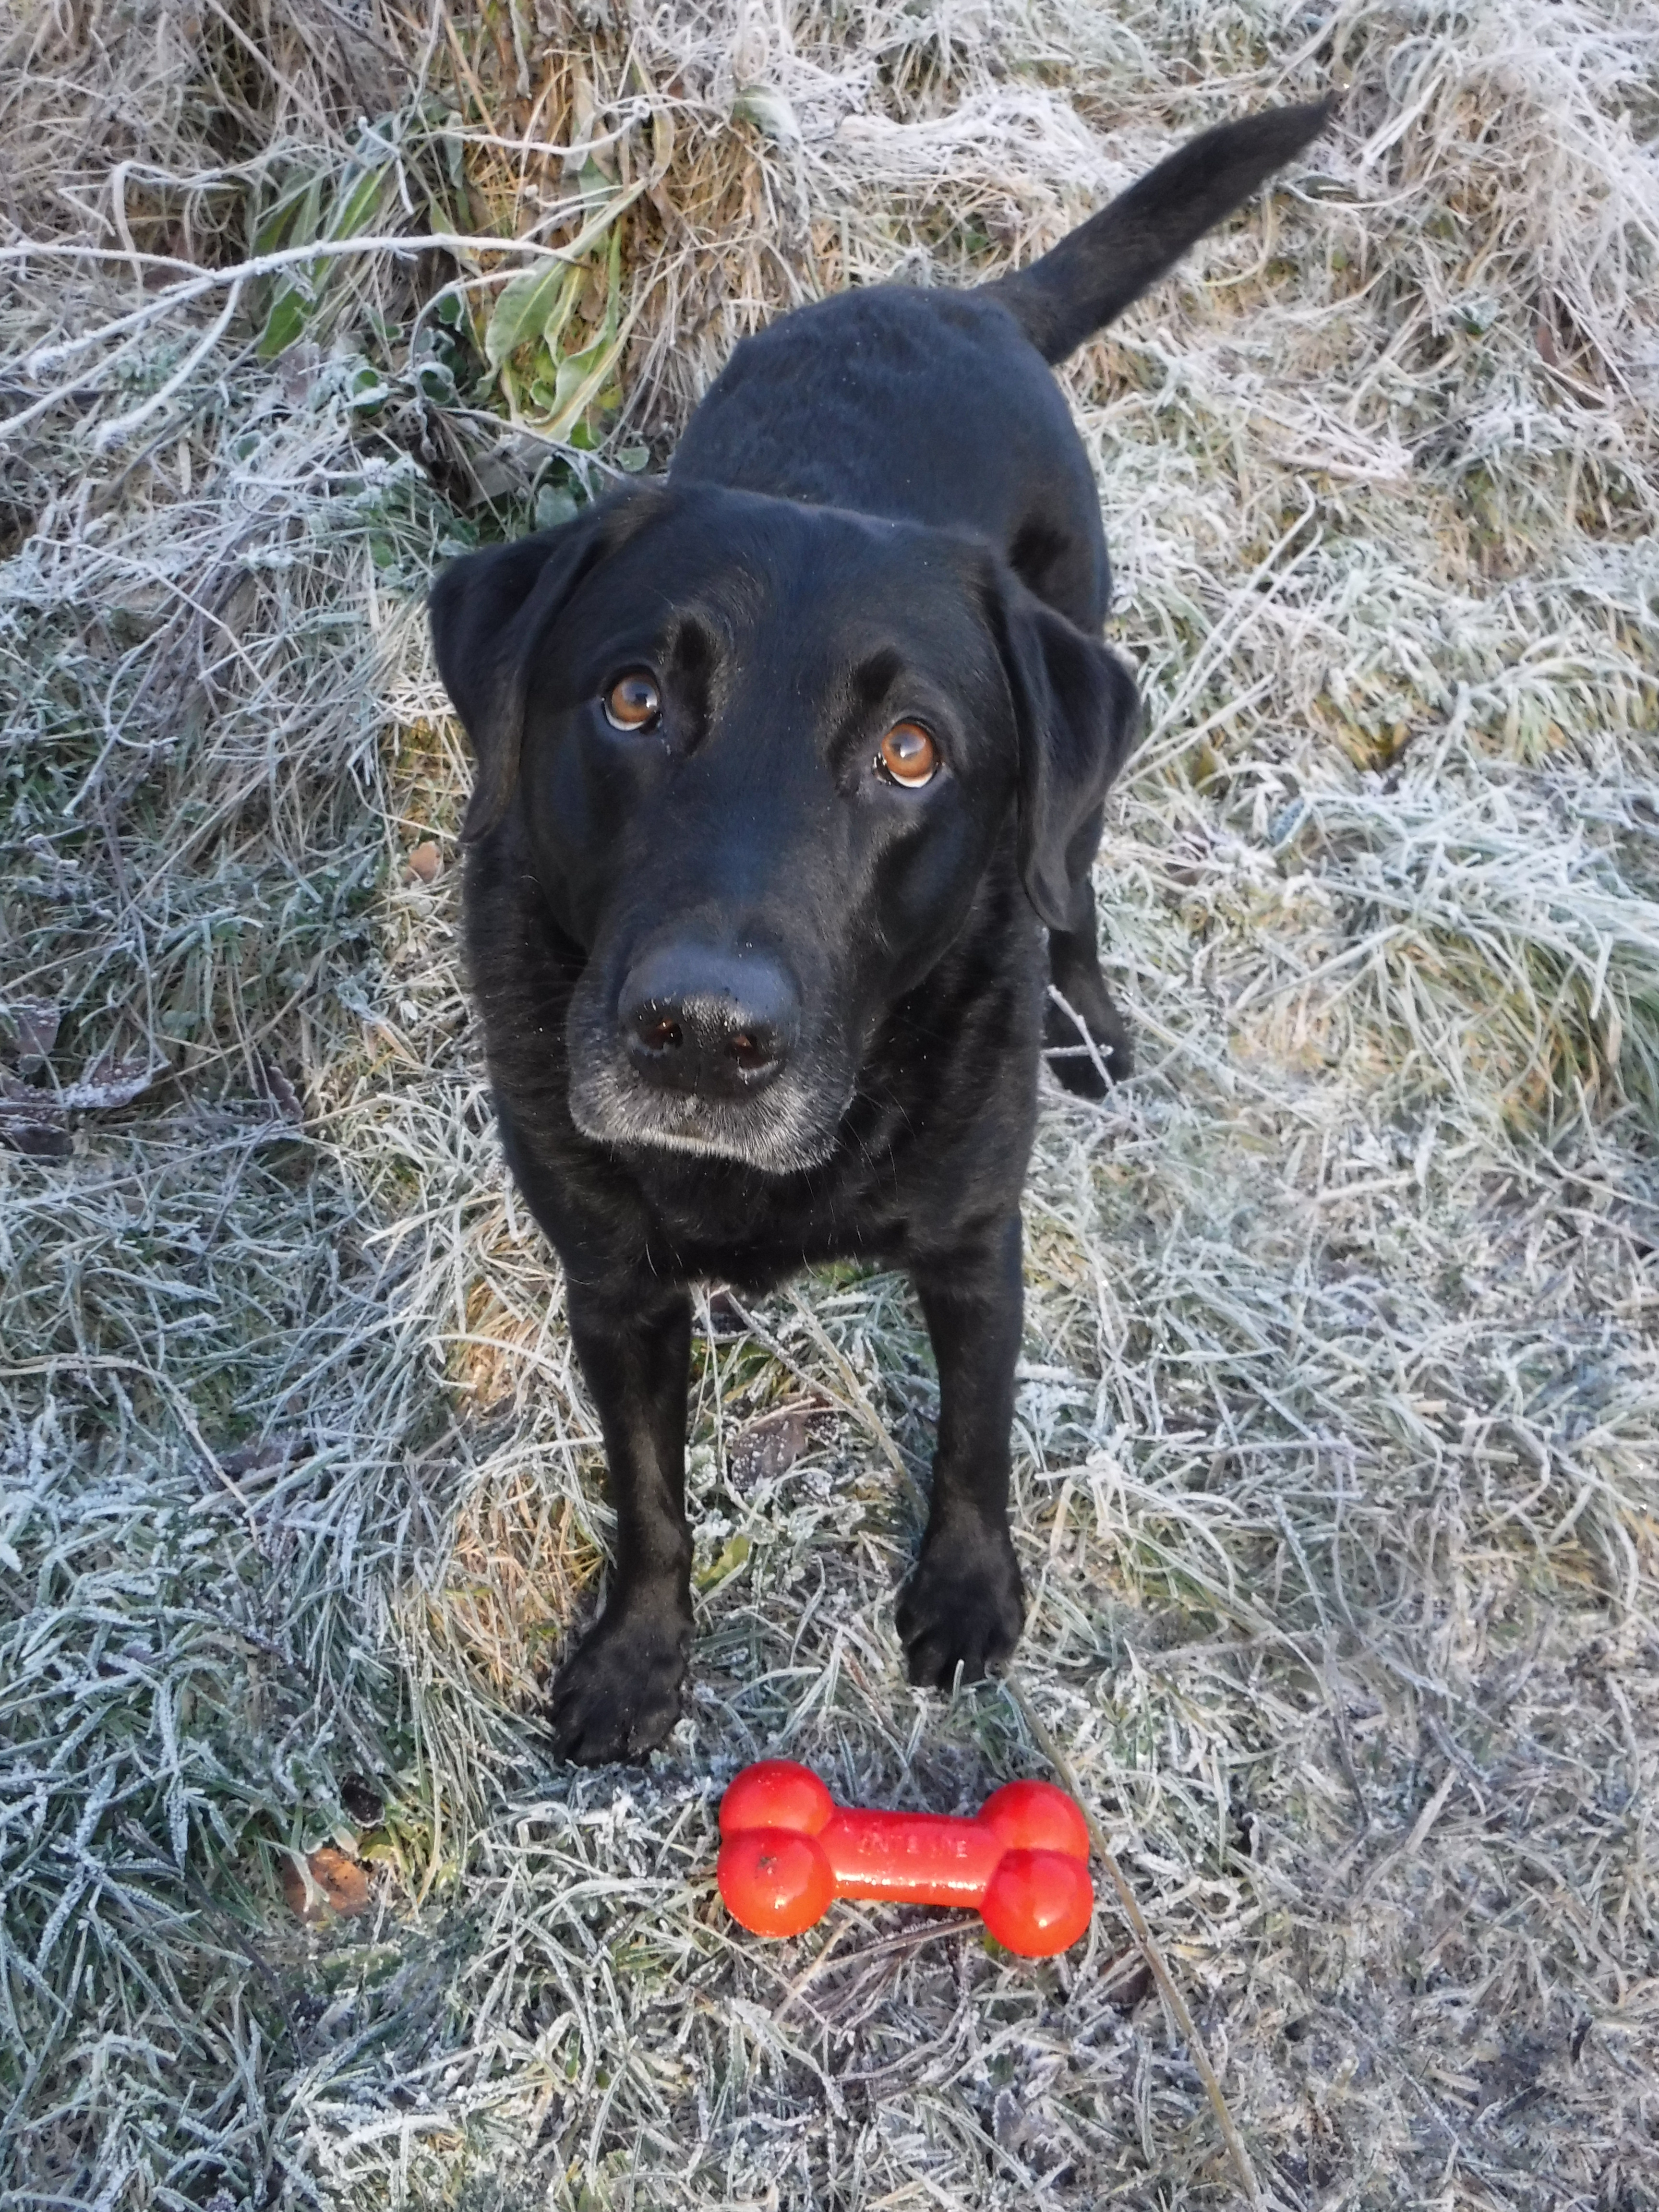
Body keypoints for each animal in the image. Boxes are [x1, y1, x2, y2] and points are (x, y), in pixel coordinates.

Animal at [430, 99, 1333, 1762]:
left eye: (912, 753)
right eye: (632, 700)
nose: (702, 1038)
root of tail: (966, 303)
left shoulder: (977, 1240)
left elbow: (975, 1437)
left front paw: (970, 1597)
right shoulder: (614, 1284)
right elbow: (648, 1494)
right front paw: (637, 1659)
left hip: (1083, 715)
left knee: (1070, 879)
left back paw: (1088, 1015)